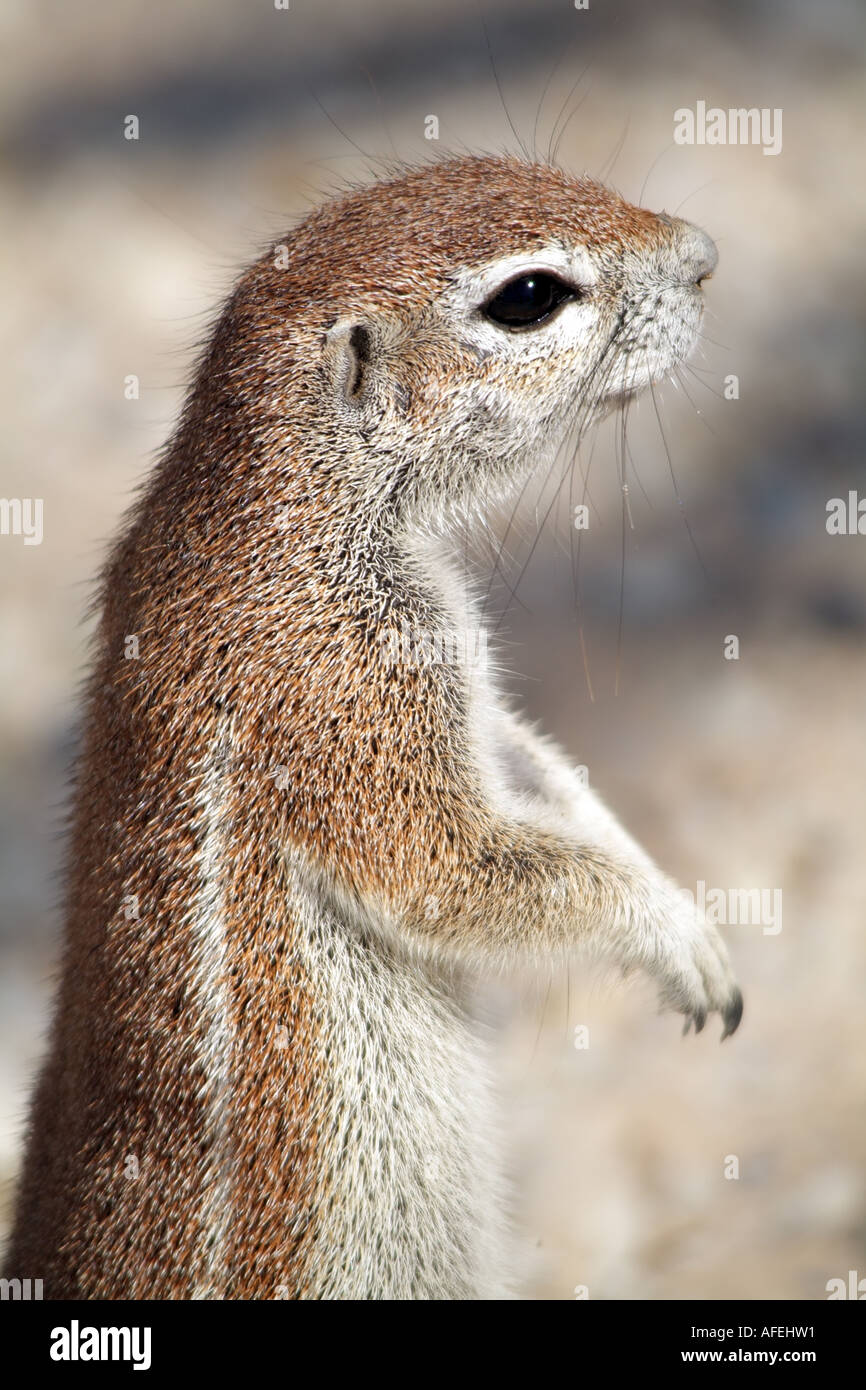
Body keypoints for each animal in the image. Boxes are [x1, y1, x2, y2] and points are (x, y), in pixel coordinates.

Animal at [3, 154, 739, 1301]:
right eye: (529, 296)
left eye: (510, 165)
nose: (703, 254)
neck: (293, 512)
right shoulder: (343, 687)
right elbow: (444, 861)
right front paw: (664, 930)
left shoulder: (463, 685)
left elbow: (543, 778)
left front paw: (692, 924)